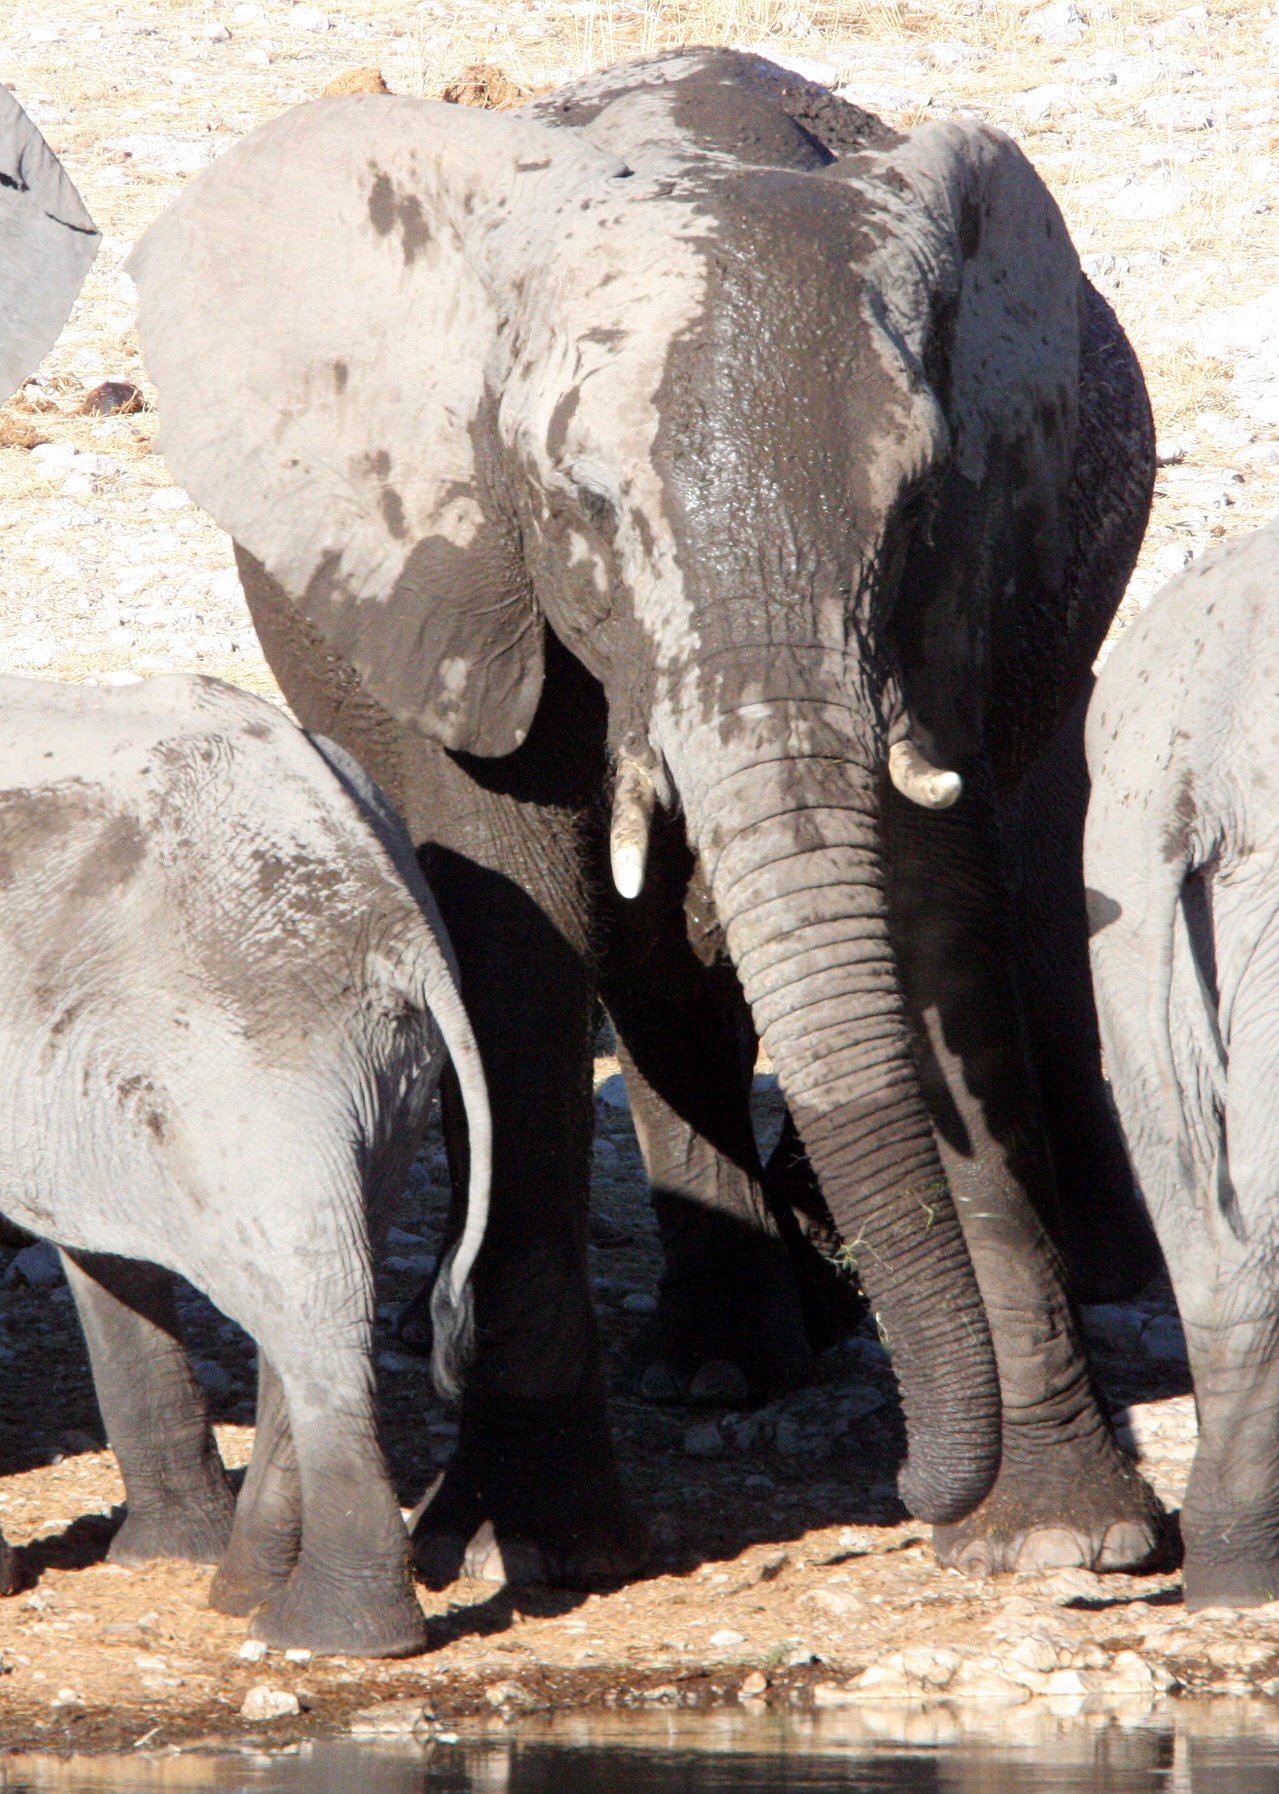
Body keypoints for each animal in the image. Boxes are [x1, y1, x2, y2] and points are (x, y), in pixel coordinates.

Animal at [0, 672, 491, 1657]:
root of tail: (397, 915)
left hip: (246, 1054)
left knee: (310, 1298)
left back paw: (329, 1632)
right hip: (375, 1065)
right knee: (313, 1276)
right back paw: (239, 1589)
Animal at [122, 47, 1165, 1585]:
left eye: (917, 500)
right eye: (587, 507)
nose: (917, 1484)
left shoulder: (955, 594)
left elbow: (933, 917)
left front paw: (1063, 1541)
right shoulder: (469, 577)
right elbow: (520, 935)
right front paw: (532, 1553)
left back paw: (729, 1365)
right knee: (645, 970)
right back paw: (699, 1367)